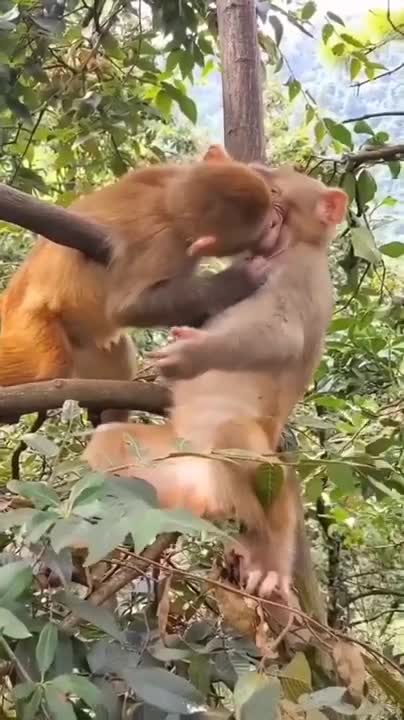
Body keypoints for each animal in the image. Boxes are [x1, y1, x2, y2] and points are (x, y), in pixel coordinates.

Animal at [0, 153, 283, 424]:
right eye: (265, 227)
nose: (276, 224)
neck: (168, 205)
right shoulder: (166, 245)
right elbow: (127, 308)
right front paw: (240, 279)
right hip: (30, 327)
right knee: (51, 368)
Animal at [83, 148, 348, 599]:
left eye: (278, 194)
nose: (257, 176)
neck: (291, 247)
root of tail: (203, 494)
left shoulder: (301, 274)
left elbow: (280, 334)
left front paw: (187, 355)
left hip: (236, 454)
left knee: (244, 447)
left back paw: (273, 556)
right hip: (162, 470)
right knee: (109, 444)